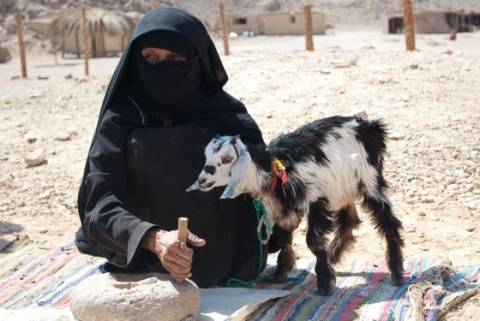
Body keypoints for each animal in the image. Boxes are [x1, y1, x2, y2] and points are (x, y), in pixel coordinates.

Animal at [186, 115, 404, 296]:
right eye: (206, 157)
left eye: (227, 158)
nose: (202, 180)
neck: (275, 172)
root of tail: (369, 126)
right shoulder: (282, 211)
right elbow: (283, 238)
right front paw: (280, 273)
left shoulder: (315, 199)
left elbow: (313, 241)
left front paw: (325, 282)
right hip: (341, 188)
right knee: (350, 219)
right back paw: (334, 255)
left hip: (370, 182)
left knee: (388, 222)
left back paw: (397, 271)